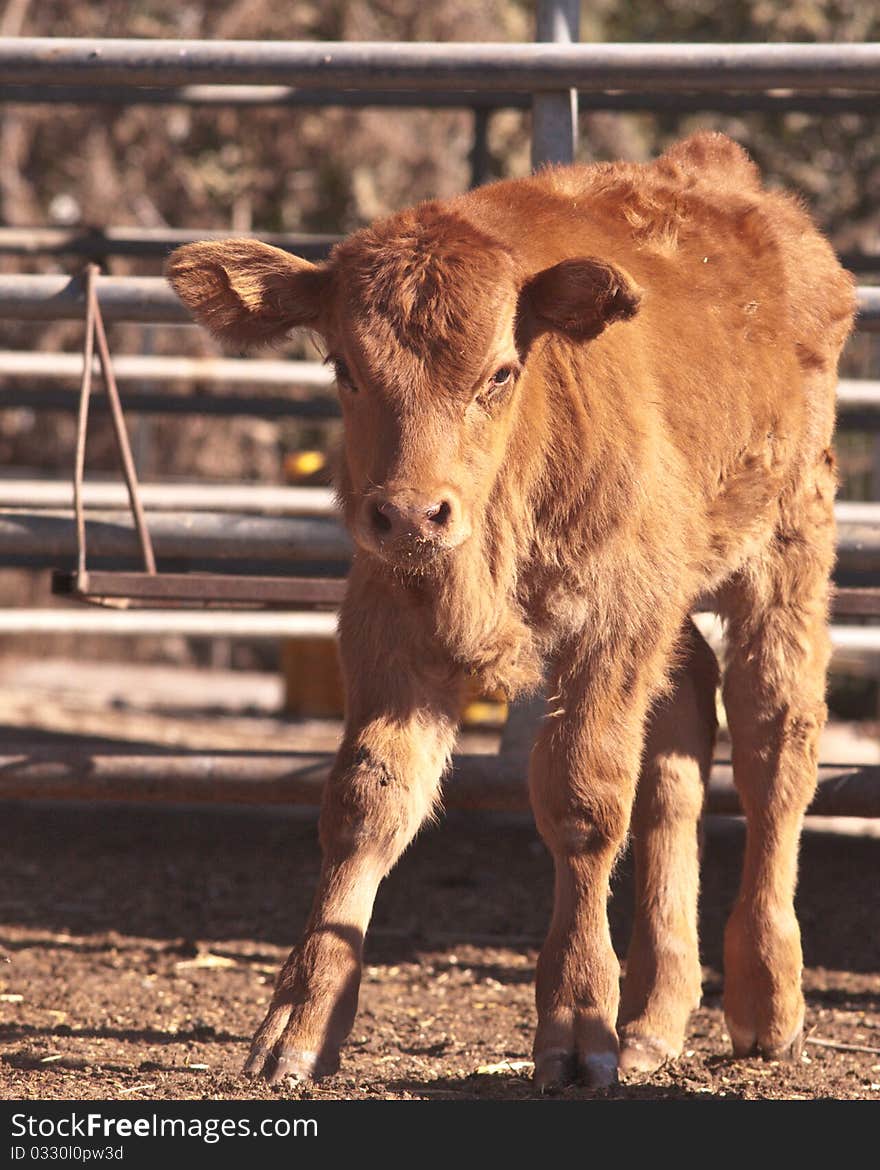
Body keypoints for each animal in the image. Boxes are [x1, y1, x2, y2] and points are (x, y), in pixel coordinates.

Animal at [165, 132, 851, 1090]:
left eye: (500, 372)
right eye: (343, 368)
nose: (412, 514)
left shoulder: (610, 623)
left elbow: (583, 798)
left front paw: (577, 1026)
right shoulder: (389, 624)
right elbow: (368, 801)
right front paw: (298, 1025)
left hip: (784, 545)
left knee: (773, 739)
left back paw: (766, 1003)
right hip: (673, 599)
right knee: (681, 741)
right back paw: (655, 1019)